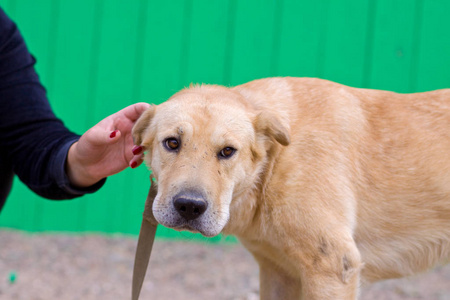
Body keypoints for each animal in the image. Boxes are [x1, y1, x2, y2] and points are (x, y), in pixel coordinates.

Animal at [132, 78, 448, 300]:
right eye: (172, 143)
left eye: (227, 151)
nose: (189, 206)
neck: (274, 163)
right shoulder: (280, 272)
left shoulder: (334, 269)